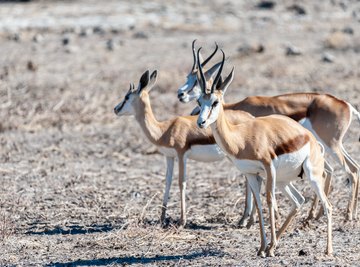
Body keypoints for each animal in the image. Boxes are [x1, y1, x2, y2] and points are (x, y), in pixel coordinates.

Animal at [114, 68, 255, 226]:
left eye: (126, 97)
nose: (116, 109)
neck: (164, 129)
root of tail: (251, 118)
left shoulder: (181, 155)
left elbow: (182, 183)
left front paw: (182, 220)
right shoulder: (169, 156)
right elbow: (167, 182)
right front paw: (162, 218)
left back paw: (246, 219)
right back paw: (244, 219)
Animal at [179, 40, 360, 224]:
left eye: (195, 82)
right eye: (200, 100)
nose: (181, 94)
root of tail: (346, 104)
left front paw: (248, 219)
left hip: (331, 145)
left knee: (350, 171)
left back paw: (347, 215)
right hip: (330, 145)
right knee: (348, 167)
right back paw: (318, 215)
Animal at [195, 48, 334, 258]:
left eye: (215, 102)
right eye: (199, 100)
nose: (201, 122)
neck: (241, 138)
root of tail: (311, 139)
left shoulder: (268, 168)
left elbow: (269, 201)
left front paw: (269, 247)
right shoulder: (251, 174)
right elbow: (259, 204)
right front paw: (262, 247)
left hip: (311, 176)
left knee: (327, 205)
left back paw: (328, 250)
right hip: (284, 180)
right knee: (298, 200)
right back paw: (272, 247)